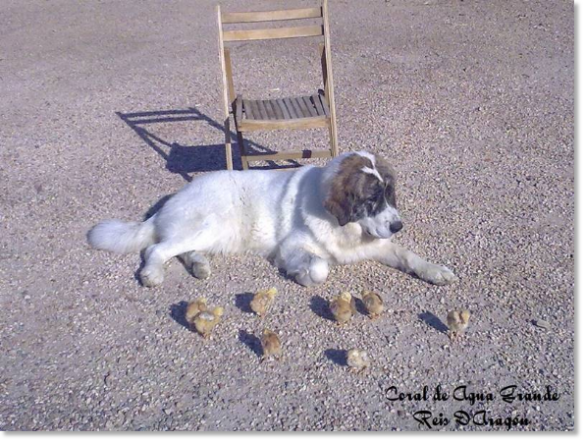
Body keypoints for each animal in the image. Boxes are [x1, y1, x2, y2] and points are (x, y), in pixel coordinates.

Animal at [90, 150, 456, 288]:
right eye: (371, 199)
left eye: (389, 195)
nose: (398, 225)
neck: (345, 225)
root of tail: (168, 202)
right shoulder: (293, 245)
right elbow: (319, 266)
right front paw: (303, 275)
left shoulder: (377, 243)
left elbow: (407, 255)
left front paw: (435, 270)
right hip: (210, 223)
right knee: (156, 249)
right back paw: (153, 273)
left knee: (178, 249)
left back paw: (198, 264)